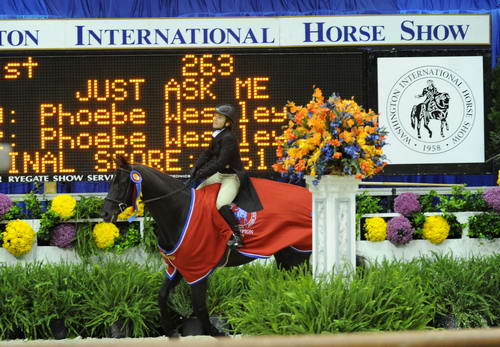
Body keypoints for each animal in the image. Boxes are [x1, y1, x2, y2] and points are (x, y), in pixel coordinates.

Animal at [100, 157, 312, 338]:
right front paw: (170, 329)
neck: (180, 212)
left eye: (121, 183)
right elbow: (162, 295)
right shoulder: (178, 267)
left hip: (296, 256)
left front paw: (216, 332)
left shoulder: (198, 269)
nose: (105, 214)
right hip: (286, 256)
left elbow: (199, 306)